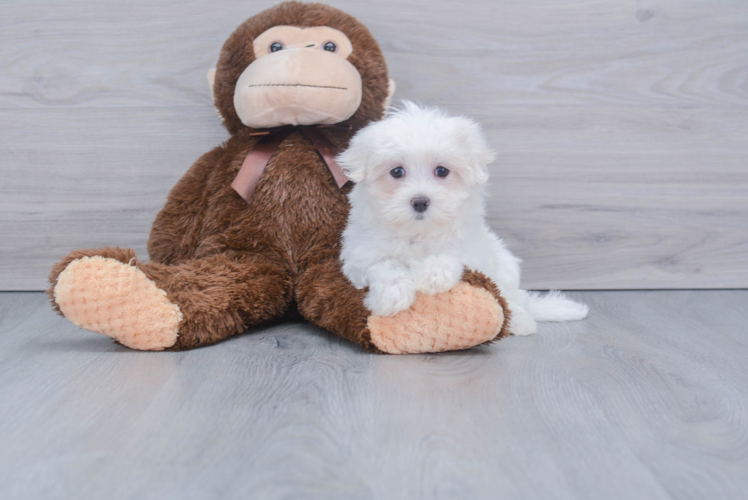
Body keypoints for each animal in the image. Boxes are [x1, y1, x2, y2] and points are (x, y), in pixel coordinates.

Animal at [336, 101, 588, 336]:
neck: (419, 232)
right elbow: (383, 265)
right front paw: (392, 295)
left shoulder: (472, 251)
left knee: (512, 298)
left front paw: (431, 275)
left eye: (442, 171)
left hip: (505, 269)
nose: (420, 201)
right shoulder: (360, 257)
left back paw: (520, 322)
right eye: (396, 171)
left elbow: (451, 255)